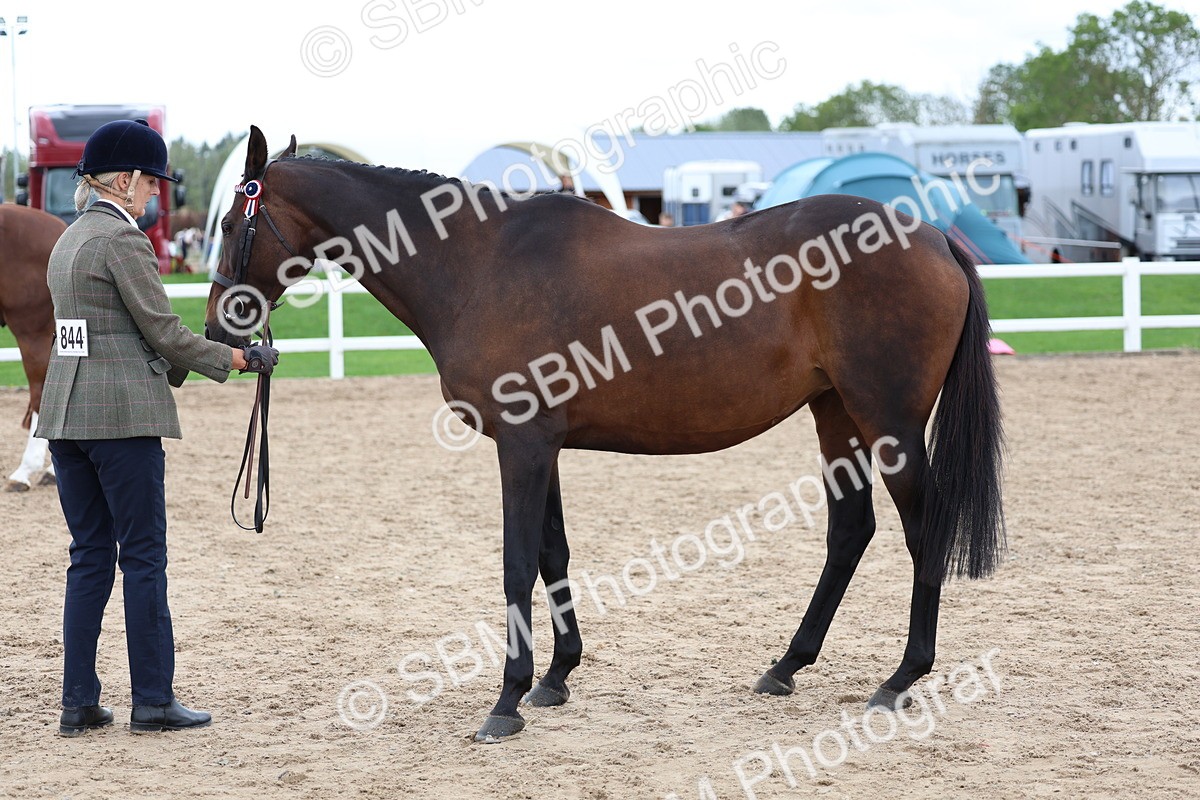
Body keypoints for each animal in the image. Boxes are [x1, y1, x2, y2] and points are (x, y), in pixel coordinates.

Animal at [205, 127, 1005, 743]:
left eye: (230, 224)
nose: (219, 326)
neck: (477, 263)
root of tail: (932, 236)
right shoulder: (542, 446)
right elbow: (553, 554)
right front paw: (556, 678)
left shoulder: (522, 446)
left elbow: (515, 565)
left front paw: (506, 701)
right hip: (836, 414)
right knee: (851, 530)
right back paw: (786, 666)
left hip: (888, 422)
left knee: (923, 530)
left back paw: (901, 677)